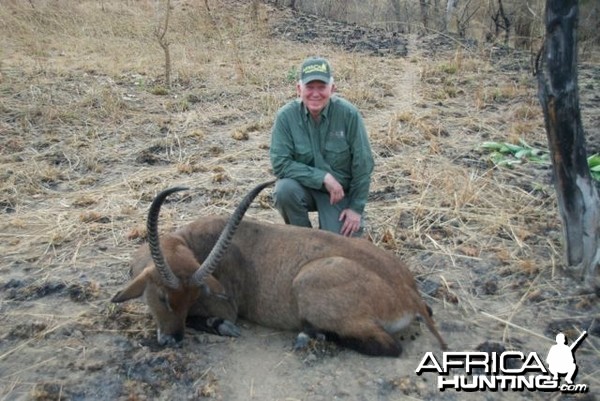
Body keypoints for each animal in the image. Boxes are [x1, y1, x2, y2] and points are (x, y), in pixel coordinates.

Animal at [115, 180, 448, 354]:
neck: (192, 242)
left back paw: (310, 335)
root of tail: (409, 293)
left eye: (192, 297)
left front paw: (221, 327)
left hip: (307, 281)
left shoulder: (225, 308)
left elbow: (212, 319)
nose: (172, 340)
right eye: (163, 297)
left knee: (390, 347)